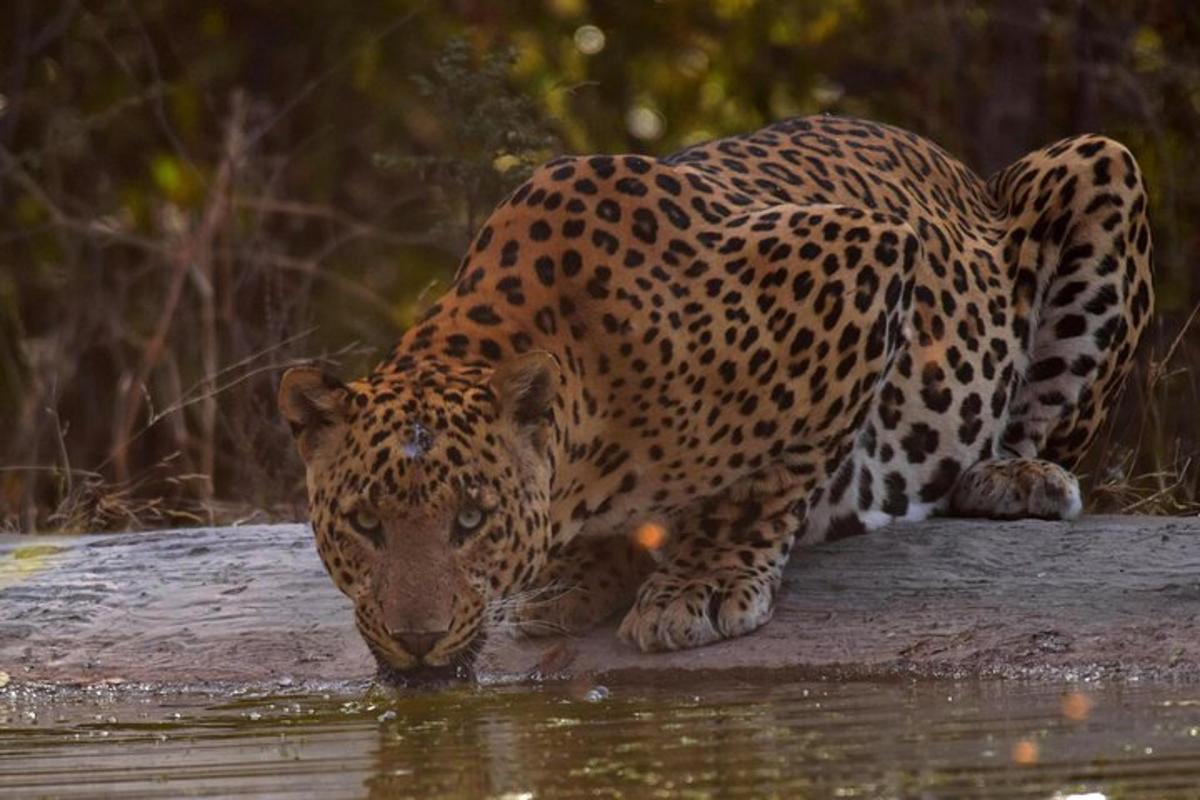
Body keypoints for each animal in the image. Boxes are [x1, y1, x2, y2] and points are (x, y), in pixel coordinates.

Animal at [278, 113, 1152, 681]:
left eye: (471, 522)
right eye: (364, 525)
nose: (416, 639)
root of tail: (961, 170)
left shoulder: (861, 255)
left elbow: (768, 476)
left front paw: (700, 585)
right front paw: (576, 576)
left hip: (1100, 164)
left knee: (1042, 431)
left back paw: (1013, 477)